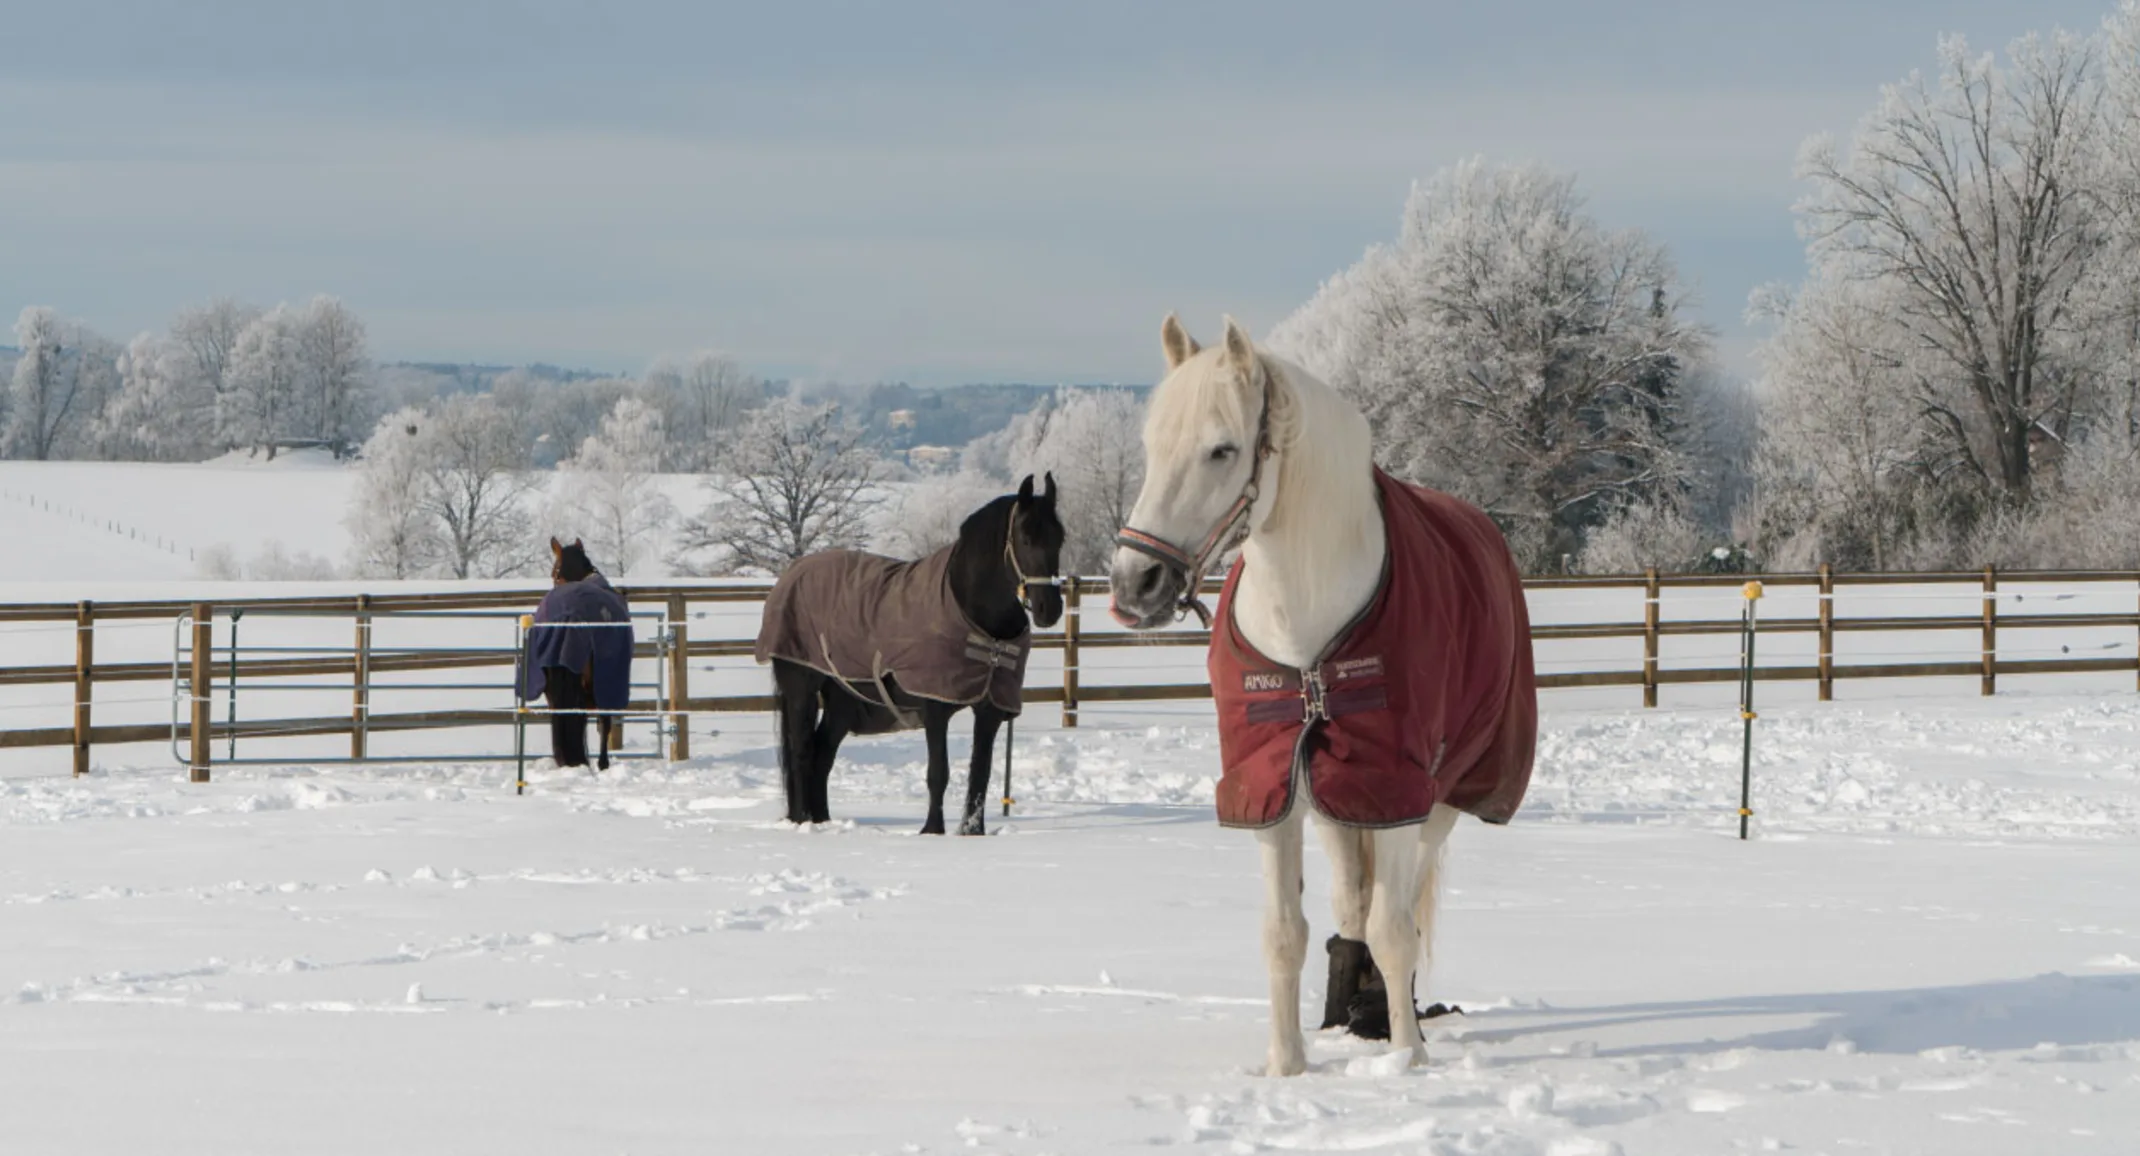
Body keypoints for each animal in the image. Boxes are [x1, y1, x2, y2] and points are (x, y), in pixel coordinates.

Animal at [755, 475, 1065, 835]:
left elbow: (980, 776)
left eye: (1060, 538)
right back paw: (804, 822)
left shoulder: (989, 710)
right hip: (800, 688)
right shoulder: (934, 707)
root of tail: (791, 576)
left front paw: (972, 833)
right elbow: (938, 773)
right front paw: (932, 831)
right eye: (1026, 538)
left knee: (822, 756)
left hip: (843, 701)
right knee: (802, 754)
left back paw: (823, 821)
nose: (1049, 608)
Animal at [1109, 316, 1536, 1075]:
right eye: (1153, 447)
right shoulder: (1272, 791)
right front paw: (1287, 1068)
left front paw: (1406, 1062)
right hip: (1338, 799)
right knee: (1350, 904)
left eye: (1222, 449)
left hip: (1437, 801)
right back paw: (1353, 1010)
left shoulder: (1395, 790)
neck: (1305, 627)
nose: (1136, 584)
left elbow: (1395, 929)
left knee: (1401, 906)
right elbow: (1285, 932)